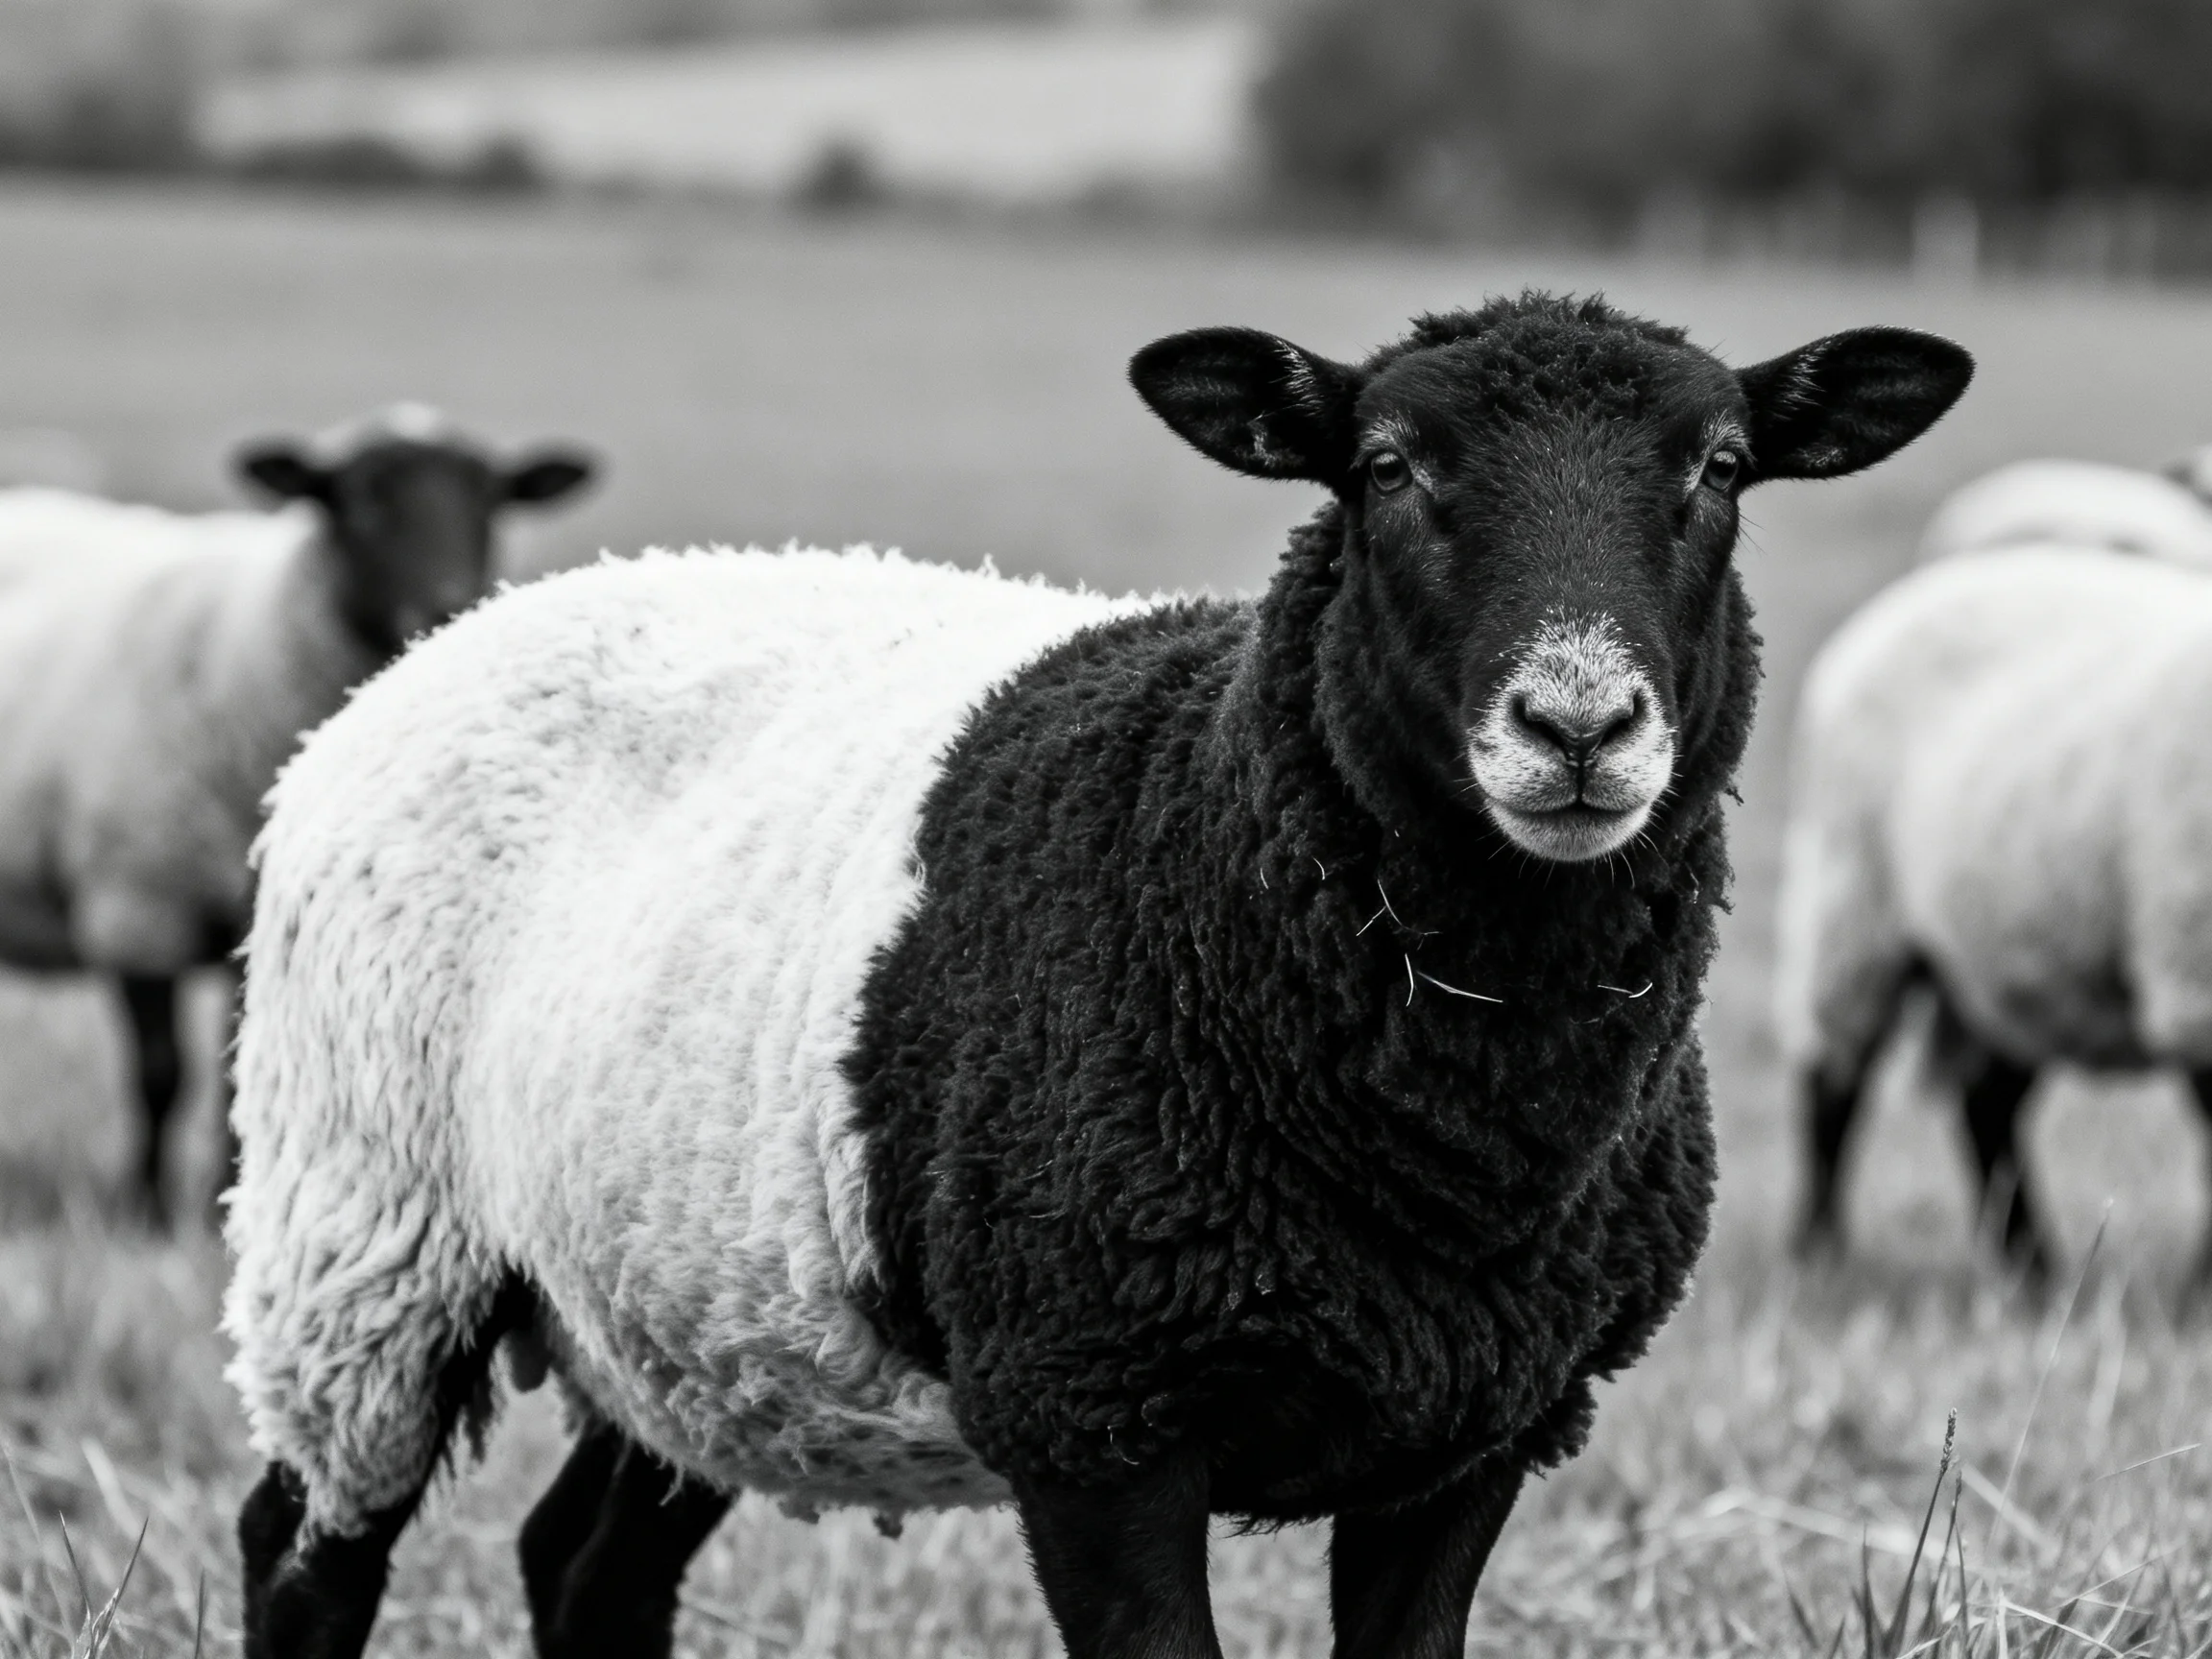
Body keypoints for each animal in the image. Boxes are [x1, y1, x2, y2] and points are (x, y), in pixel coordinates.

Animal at [0, 405, 593, 1225]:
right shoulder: (136, 905)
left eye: (491, 501)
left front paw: (220, 1206)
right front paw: (144, 1209)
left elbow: (234, 1078)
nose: (448, 603)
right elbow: (160, 1073)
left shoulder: (257, 922)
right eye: (360, 500)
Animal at [222, 294, 1969, 1659]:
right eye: (1386, 468)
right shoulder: (1095, 1417)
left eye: (1719, 468)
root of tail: (462, 632)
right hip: (363, 1228)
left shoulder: (1470, 1438)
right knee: (304, 1550)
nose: (1579, 723)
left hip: (684, 1295)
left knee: (583, 1566)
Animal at [1780, 543, 2212, 1284]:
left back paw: (2030, 1266)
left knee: (1988, 1102)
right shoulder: (2193, 976)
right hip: (1851, 895)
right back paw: (1819, 1253)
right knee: (1835, 1079)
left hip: (1998, 950)